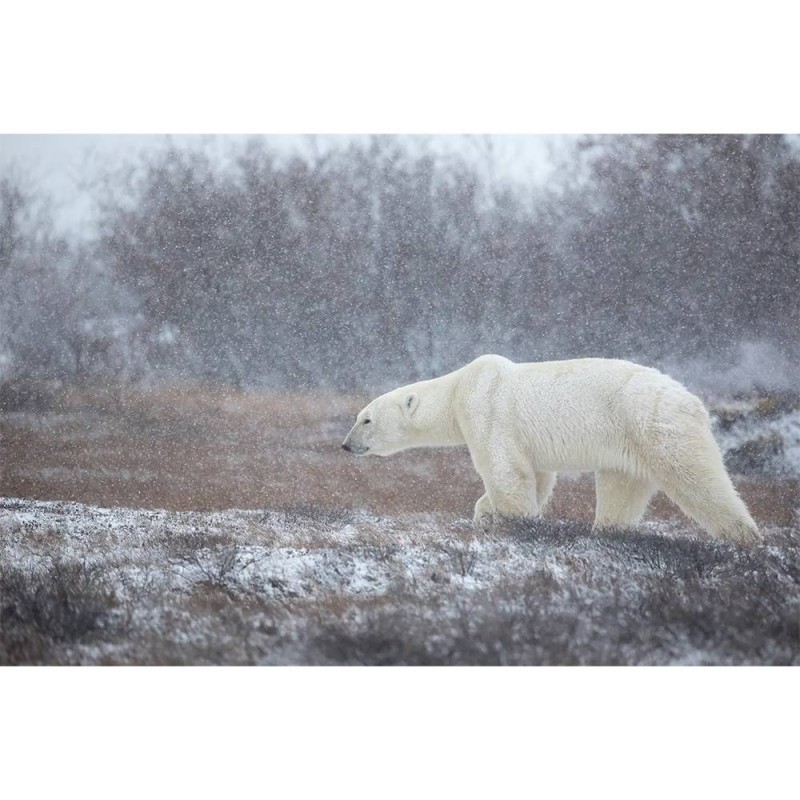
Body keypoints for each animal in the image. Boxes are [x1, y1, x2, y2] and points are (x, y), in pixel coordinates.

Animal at [340, 354, 760, 548]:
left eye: (365, 419)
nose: (346, 445)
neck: (459, 388)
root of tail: (695, 402)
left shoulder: (486, 410)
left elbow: (506, 473)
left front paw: (514, 523)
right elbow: (535, 476)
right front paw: (485, 515)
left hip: (653, 424)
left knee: (698, 480)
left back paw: (745, 539)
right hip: (627, 443)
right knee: (621, 488)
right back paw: (605, 534)